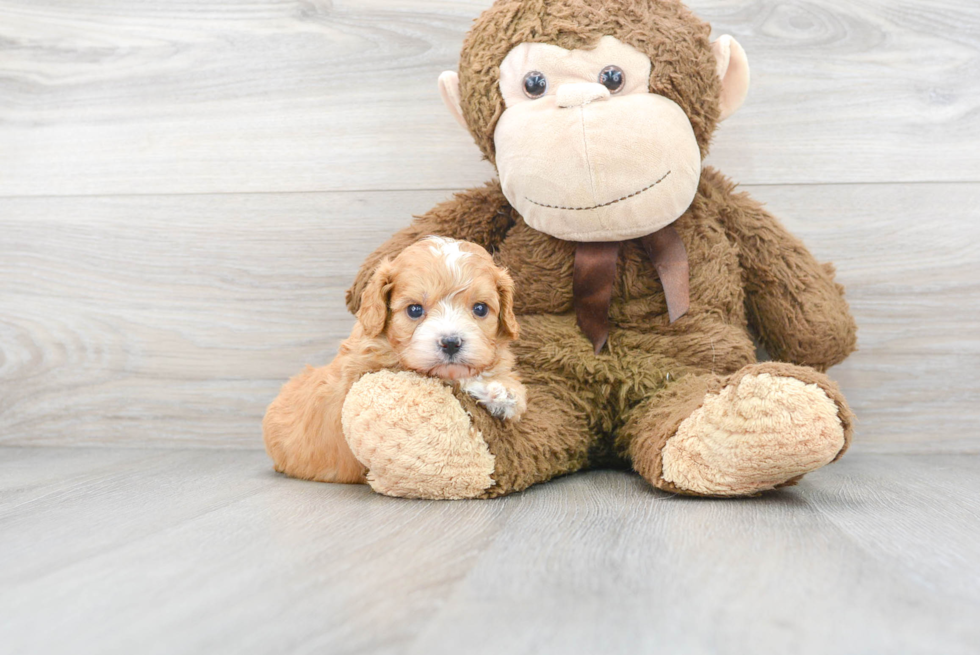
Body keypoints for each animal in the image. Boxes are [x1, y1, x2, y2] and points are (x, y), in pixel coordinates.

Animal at [256, 238, 524, 484]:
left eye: (480, 309)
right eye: (415, 310)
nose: (450, 343)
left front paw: (505, 390)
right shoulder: (371, 371)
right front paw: (495, 390)